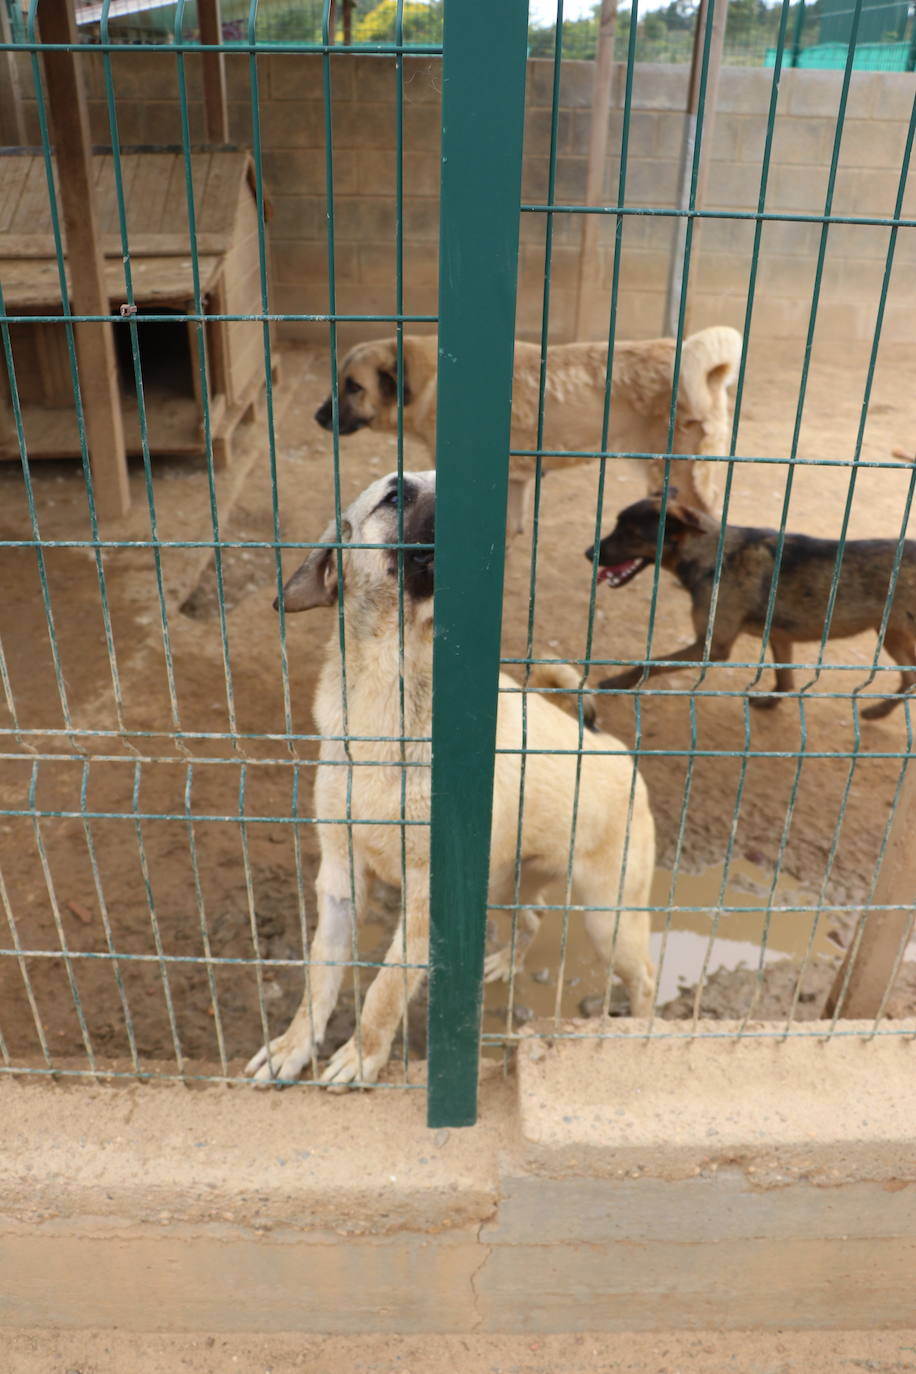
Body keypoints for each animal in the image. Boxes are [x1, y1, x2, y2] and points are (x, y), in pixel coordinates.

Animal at [247, 467, 656, 1088]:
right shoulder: (340, 880)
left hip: (610, 916)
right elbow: (319, 977)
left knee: (646, 977)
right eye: (396, 495)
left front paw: (362, 1056)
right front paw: (292, 1046)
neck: (389, 696)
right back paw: (505, 960)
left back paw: (643, 1032)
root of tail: (614, 752)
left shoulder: (426, 896)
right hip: (508, 885)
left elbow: (386, 988)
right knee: (532, 918)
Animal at [318, 325, 741, 530]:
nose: (318, 418)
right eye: (338, 380)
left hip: (682, 472)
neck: (429, 380)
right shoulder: (515, 483)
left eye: (354, 387)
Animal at [587, 502, 916, 719]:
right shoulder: (779, 637)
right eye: (616, 526)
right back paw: (881, 710)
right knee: (909, 677)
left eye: (630, 533)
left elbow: (650, 663)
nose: (588, 553)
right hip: (890, 634)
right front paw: (771, 702)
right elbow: (785, 678)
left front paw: (617, 683)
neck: (712, 554)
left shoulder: (712, 648)